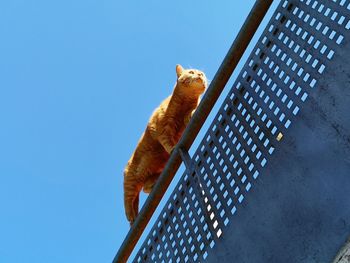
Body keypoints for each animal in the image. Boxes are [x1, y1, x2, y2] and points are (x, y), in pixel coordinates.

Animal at [123, 65, 208, 226]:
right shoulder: (162, 130)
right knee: (128, 204)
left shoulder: (184, 120)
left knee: (145, 188)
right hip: (130, 183)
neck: (184, 104)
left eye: (202, 73)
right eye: (191, 72)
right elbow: (167, 142)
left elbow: (189, 115)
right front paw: (173, 148)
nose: (200, 75)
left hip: (152, 174)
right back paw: (133, 218)